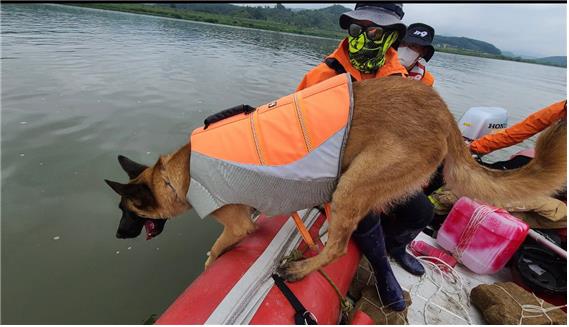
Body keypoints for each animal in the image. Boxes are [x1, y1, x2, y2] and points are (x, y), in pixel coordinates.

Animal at [105, 77, 564, 282]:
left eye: (127, 212)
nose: (117, 236)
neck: (176, 174)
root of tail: (444, 114)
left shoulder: (235, 224)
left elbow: (217, 249)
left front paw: (210, 261)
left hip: (353, 184)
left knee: (341, 245)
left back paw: (302, 268)